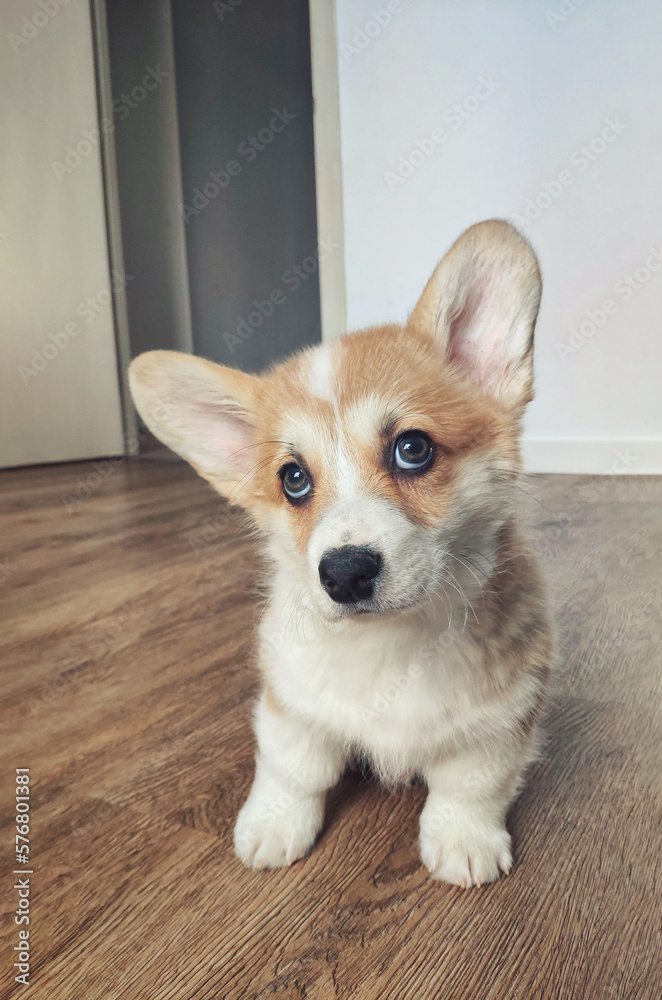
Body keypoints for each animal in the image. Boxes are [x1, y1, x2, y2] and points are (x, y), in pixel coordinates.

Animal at [130, 221, 556, 892]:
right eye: (293, 480)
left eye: (413, 448)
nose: (345, 574)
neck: (389, 644)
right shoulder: (290, 704)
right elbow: (292, 770)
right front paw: (274, 826)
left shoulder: (503, 718)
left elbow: (471, 785)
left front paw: (463, 842)